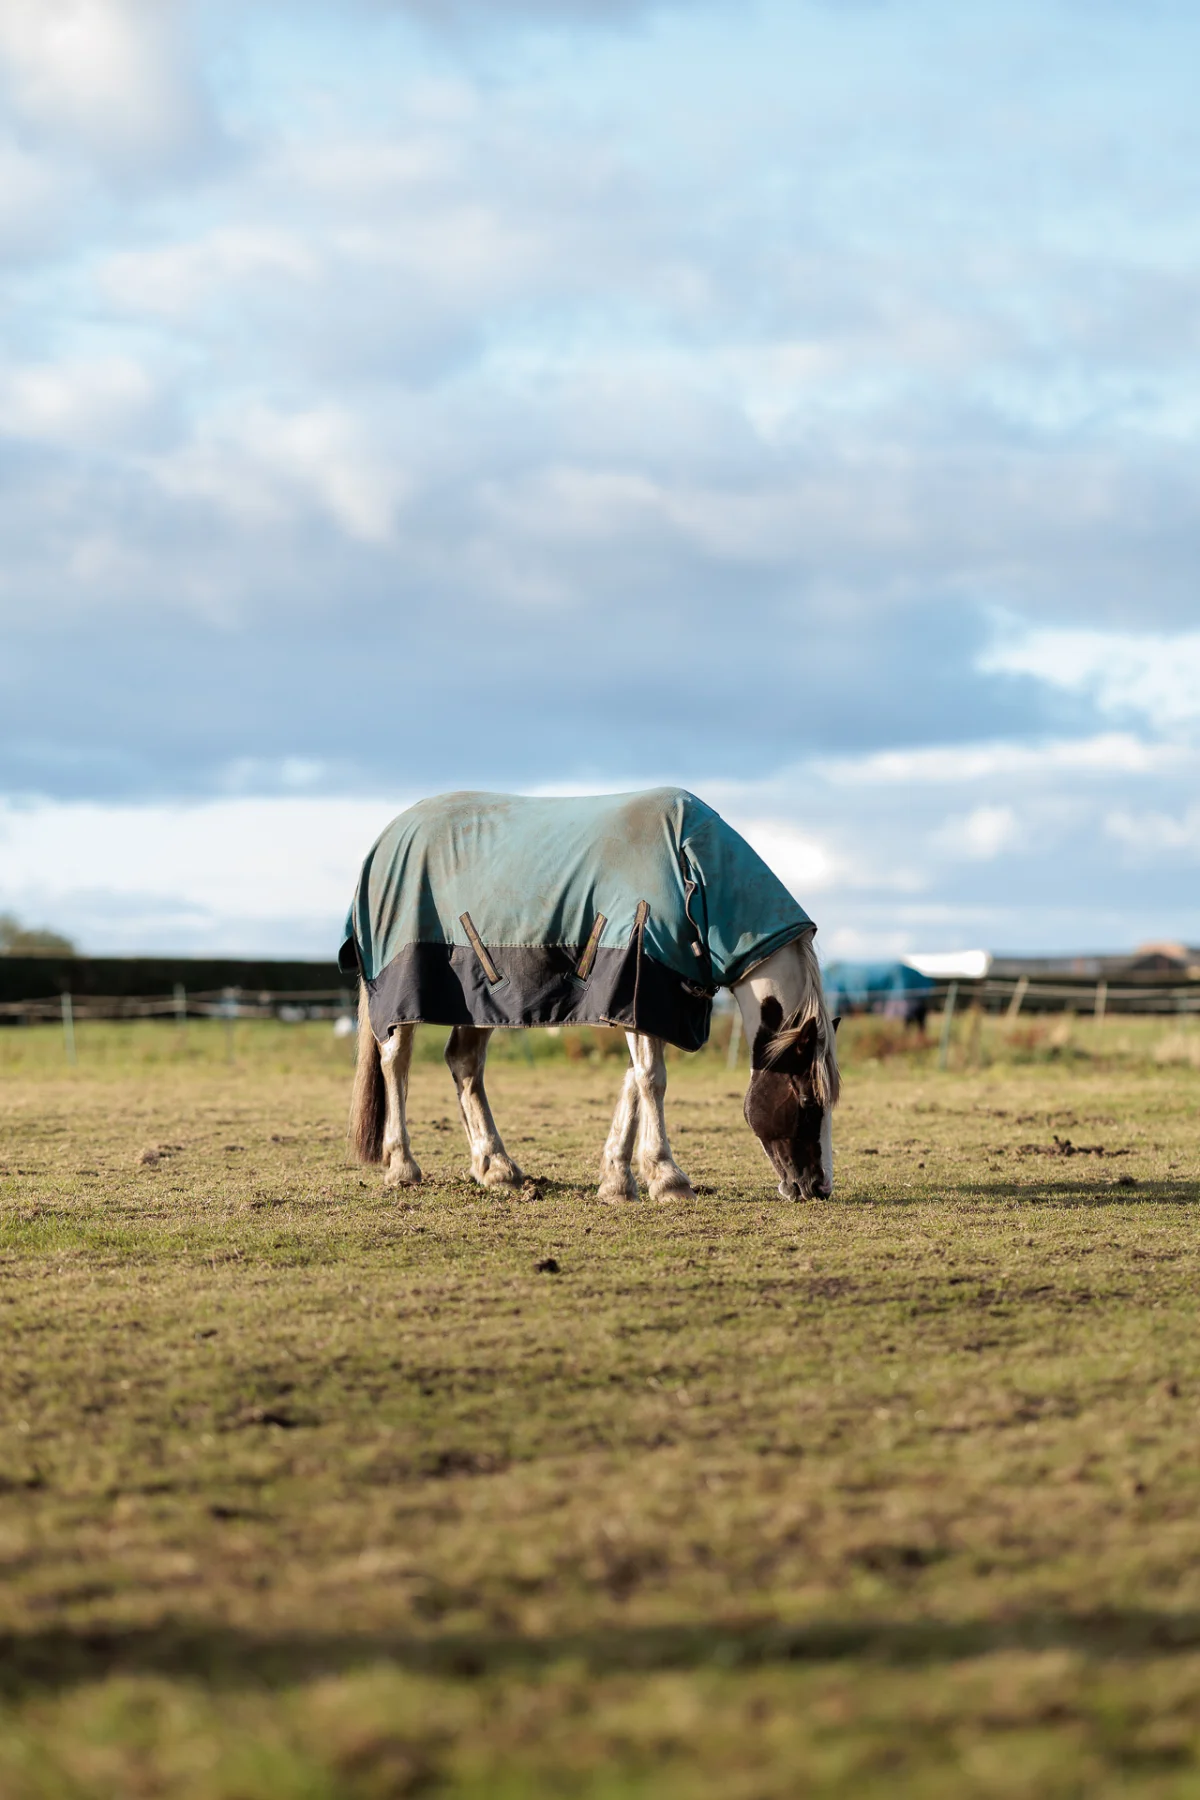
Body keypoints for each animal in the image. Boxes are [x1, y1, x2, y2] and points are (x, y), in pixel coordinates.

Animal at [340, 788, 840, 1202]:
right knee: (395, 1063)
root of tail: (383, 843)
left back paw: (496, 1168)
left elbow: (635, 1079)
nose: (818, 1188)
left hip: (481, 998)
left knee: (464, 1063)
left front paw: (618, 1179)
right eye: (808, 1102)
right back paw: (403, 1166)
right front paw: (667, 1178)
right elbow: (651, 1079)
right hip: (403, 996)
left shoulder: (644, 1001)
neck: (691, 873)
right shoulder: (639, 983)